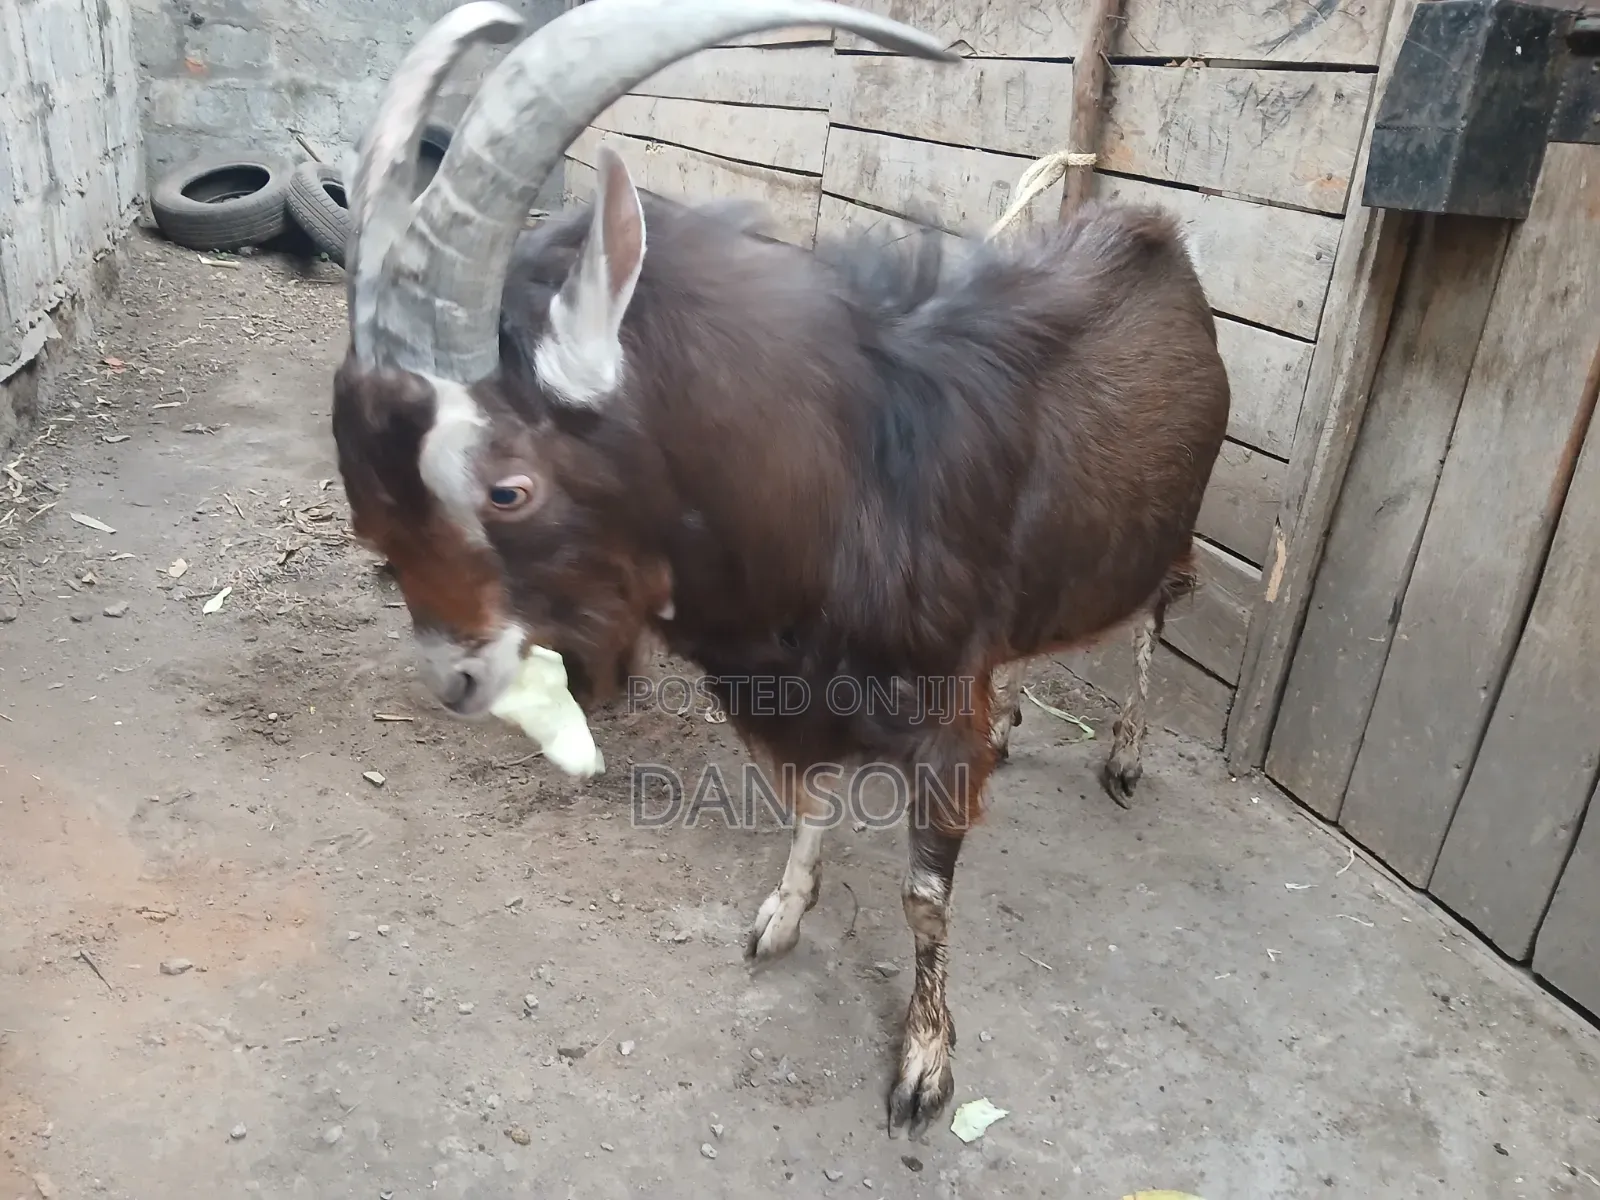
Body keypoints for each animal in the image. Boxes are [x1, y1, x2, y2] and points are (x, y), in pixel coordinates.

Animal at [330, 0, 1231, 1138]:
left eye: (506, 490)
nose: (453, 678)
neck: (853, 482)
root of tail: (1158, 239)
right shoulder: (795, 690)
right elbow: (807, 803)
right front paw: (781, 919)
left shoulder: (936, 711)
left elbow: (922, 895)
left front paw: (924, 1066)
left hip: (1171, 525)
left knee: (1160, 612)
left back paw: (1122, 754)